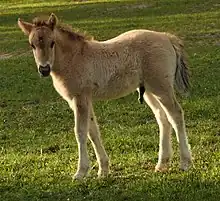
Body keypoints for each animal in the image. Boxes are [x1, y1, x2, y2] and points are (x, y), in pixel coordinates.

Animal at [18, 13, 192, 179]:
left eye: (52, 42)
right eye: (32, 45)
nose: (44, 69)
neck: (74, 58)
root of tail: (167, 37)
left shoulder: (80, 98)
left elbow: (80, 132)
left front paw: (81, 172)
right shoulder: (84, 100)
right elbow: (93, 131)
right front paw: (103, 170)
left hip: (161, 87)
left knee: (176, 114)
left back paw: (185, 162)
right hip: (149, 90)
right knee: (162, 118)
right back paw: (162, 164)